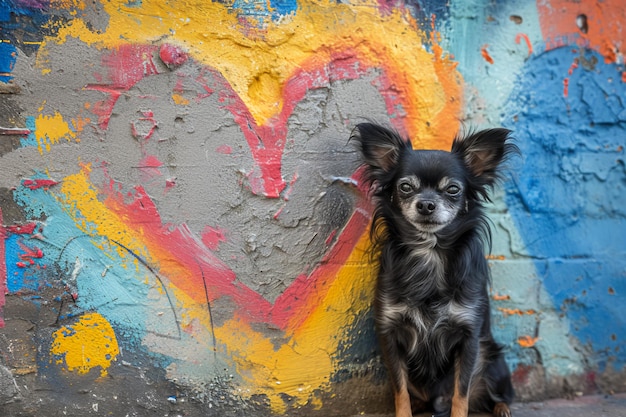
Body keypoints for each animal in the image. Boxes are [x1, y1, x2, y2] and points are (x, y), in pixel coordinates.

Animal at [352, 122, 516, 416]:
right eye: (406, 187)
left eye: (452, 189)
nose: (426, 204)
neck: (429, 252)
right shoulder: (390, 335)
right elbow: (399, 390)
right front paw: (403, 413)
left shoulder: (469, 338)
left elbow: (461, 393)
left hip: (492, 359)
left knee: (496, 394)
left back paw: (502, 408)